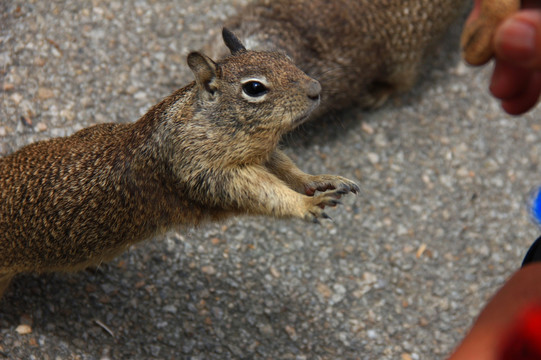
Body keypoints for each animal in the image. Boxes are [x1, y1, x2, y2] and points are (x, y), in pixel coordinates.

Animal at [0, 28, 358, 298]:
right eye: (254, 88)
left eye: (285, 57)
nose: (316, 89)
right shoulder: (202, 170)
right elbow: (262, 194)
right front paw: (305, 204)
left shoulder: (263, 154)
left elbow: (287, 169)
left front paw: (318, 179)